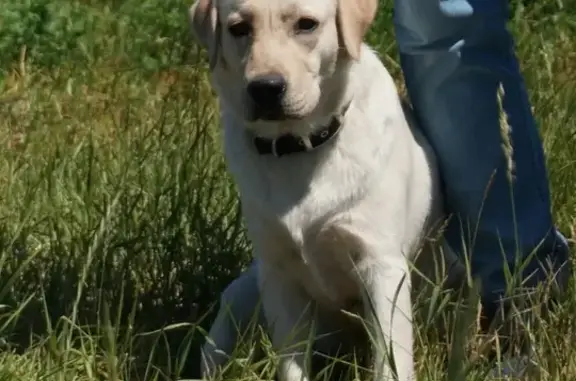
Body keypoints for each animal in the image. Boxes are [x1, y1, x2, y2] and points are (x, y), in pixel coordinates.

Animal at [189, 0, 464, 378]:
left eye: (306, 25)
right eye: (239, 29)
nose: (265, 88)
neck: (300, 147)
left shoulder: (382, 265)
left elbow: (390, 360)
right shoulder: (278, 274)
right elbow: (291, 362)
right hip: (246, 290)